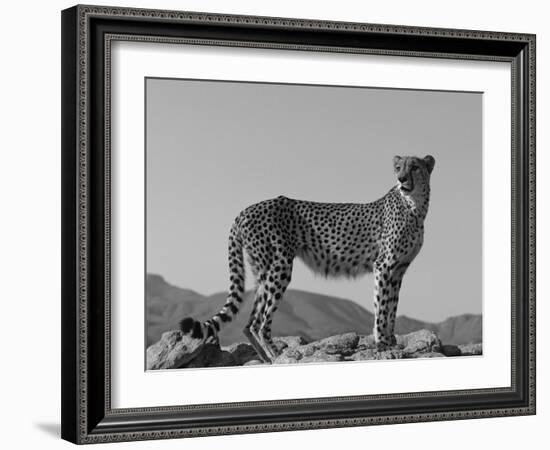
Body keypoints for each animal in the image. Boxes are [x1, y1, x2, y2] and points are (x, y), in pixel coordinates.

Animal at [180, 156, 436, 364]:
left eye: (415, 167)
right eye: (398, 168)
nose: (402, 179)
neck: (414, 207)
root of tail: (247, 209)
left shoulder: (398, 269)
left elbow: (392, 306)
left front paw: (391, 340)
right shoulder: (383, 266)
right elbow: (382, 307)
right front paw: (382, 343)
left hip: (262, 270)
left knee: (249, 322)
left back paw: (266, 359)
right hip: (279, 266)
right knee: (260, 323)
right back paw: (277, 355)